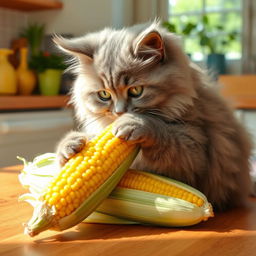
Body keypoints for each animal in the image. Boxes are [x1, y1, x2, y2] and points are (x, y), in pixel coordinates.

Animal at [54, 21, 252, 210]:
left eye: (136, 91)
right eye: (104, 95)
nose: (119, 112)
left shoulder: (196, 151)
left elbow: (162, 135)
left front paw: (134, 123)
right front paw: (70, 146)